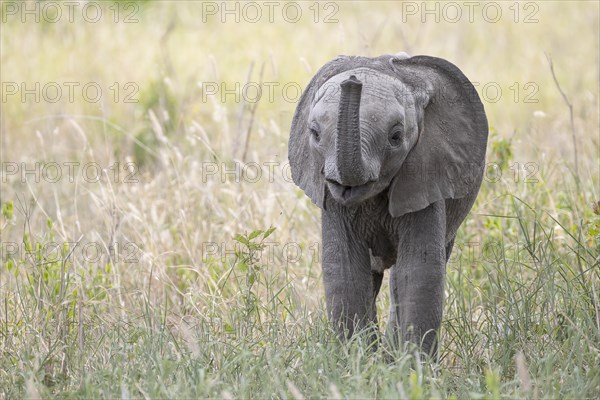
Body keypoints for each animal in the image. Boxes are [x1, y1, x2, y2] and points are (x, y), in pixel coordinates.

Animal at [288, 54, 490, 356]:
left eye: (395, 137)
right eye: (314, 133)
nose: (352, 81)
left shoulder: (426, 172)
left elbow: (420, 271)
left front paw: (412, 366)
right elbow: (344, 270)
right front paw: (359, 362)